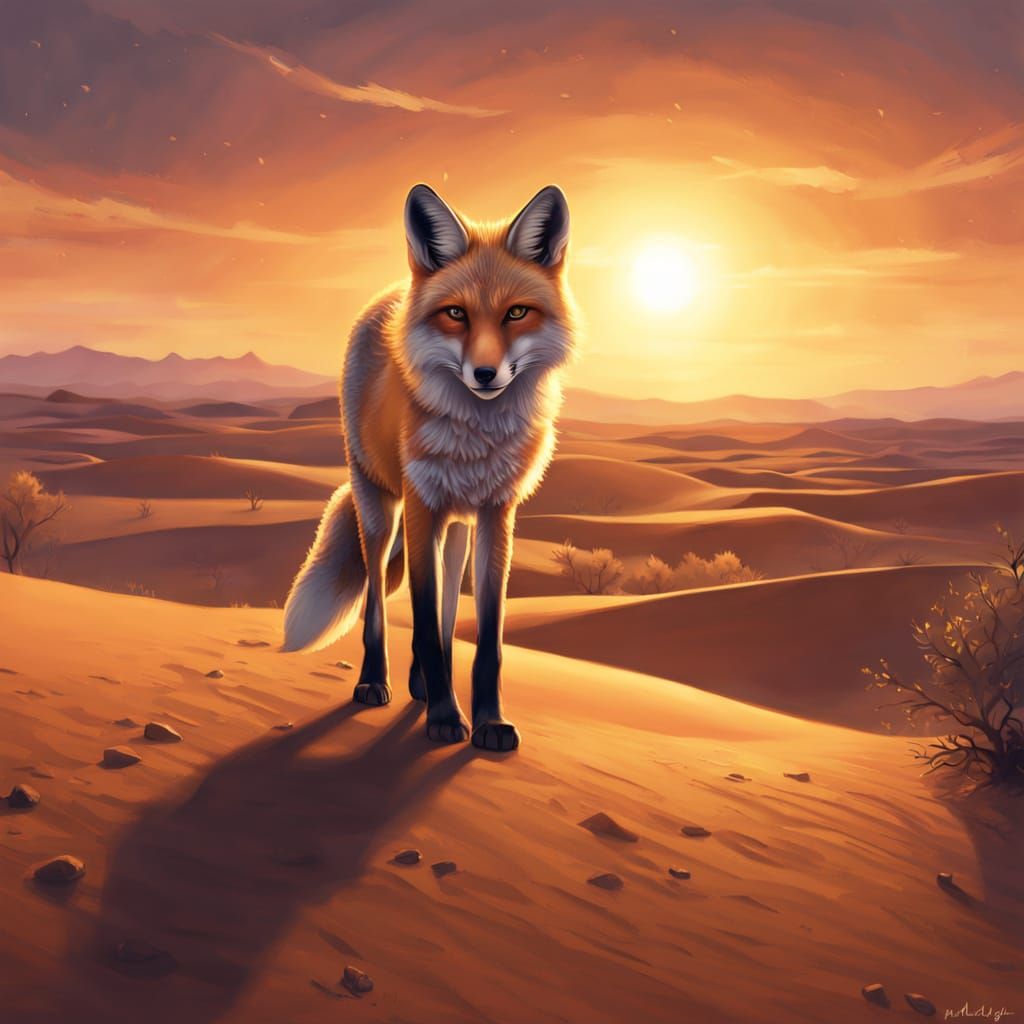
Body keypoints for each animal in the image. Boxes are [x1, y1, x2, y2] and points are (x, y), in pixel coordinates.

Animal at [282, 183, 575, 751]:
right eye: (456, 314)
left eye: (516, 313)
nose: (484, 373)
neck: (476, 437)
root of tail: (390, 292)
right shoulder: (422, 506)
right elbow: (418, 619)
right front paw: (443, 717)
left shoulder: (496, 514)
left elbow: (483, 640)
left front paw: (488, 722)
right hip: (380, 509)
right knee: (377, 600)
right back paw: (377, 682)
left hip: (456, 528)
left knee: (443, 615)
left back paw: (419, 684)